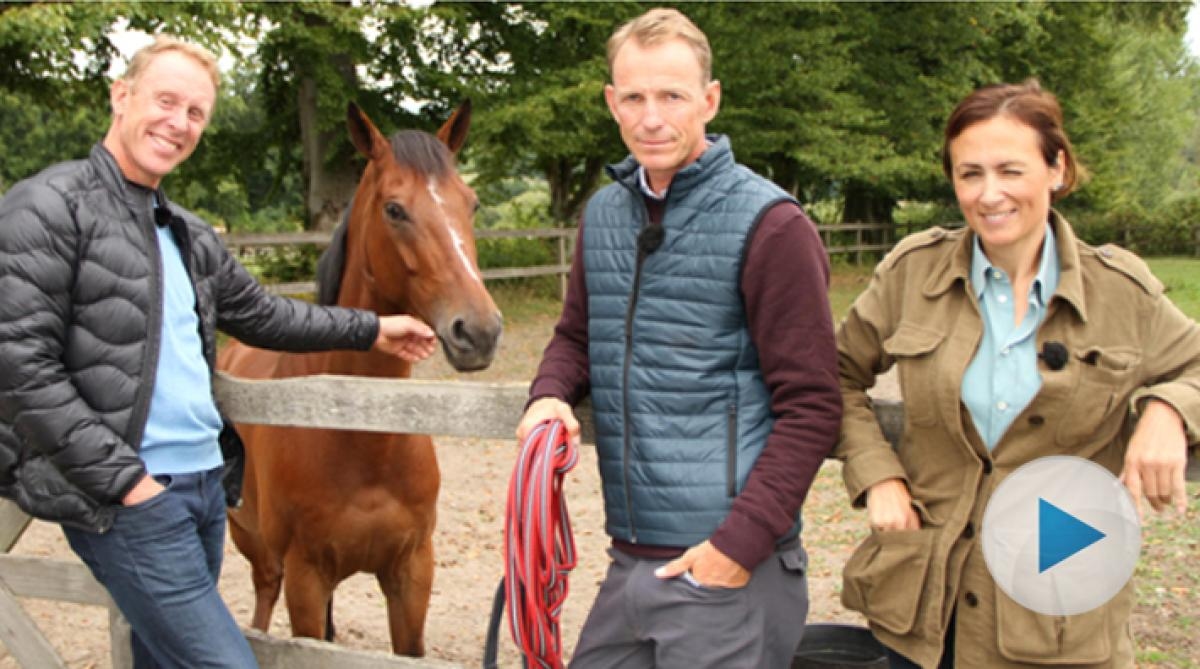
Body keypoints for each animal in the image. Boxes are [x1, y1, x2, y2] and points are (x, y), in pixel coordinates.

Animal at [217, 102, 501, 657]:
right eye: (394, 209)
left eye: (472, 204)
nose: (478, 330)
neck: (361, 438)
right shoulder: (305, 578)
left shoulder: (412, 573)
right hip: (255, 546)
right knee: (263, 597)